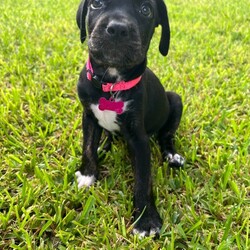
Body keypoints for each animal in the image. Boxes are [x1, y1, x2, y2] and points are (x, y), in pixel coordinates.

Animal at [75, 0, 185, 236]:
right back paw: (104, 146)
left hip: (175, 100)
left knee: (166, 136)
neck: (111, 84)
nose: (118, 29)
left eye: (146, 10)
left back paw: (172, 155)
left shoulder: (139, 139)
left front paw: (146, 220)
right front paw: (88, 174)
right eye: (96, 4)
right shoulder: (89, 117)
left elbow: (143, 179)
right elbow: (87, 147)